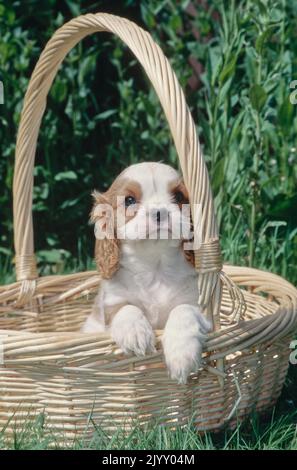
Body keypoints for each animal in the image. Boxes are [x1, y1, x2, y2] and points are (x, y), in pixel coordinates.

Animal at [81, 162, 210, 382]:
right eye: (129, 200)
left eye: (179, 196)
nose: (160, 212)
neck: (155, 267)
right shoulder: (112, 303)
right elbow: (126, 309)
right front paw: (135, 333)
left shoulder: (196, 303)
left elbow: (183, 311)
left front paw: (182, 354)